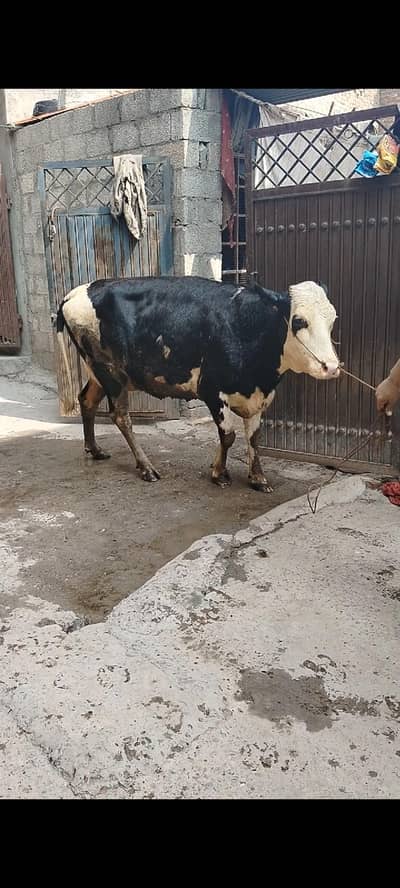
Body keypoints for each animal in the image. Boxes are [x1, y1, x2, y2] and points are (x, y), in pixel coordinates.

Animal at [56, 276, 340, 492]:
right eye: (299, 321)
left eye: (333, 320)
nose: (332, 367)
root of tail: (75, 293)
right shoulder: (212, 391)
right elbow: (229, 436)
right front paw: (219, 473)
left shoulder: (259, 396)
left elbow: (254, 437)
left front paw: (258, 478)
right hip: (110, 372)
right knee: (121, 416)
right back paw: (146, 467)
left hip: (98, 372)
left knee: (87, 401)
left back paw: (94, 449)